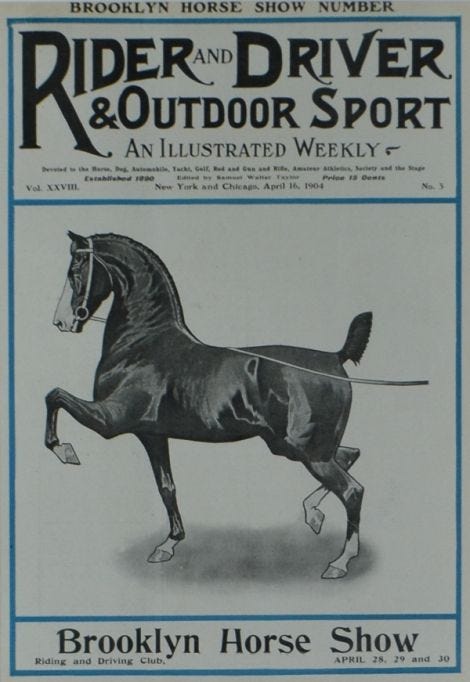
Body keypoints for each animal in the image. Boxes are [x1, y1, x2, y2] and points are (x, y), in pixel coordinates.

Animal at [46, 231, 373, 579]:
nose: (61, 322)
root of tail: (335, 358)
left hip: (307, 450)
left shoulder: (111, 420)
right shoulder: (153, 435)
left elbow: (55, 396)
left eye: (76, 269)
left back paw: (340, 561)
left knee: (352, 490)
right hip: (295, 446)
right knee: (350, 455)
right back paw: (313, 515)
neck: (143, 343)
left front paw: (65, 451)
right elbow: (167, 487)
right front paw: (168, 544)